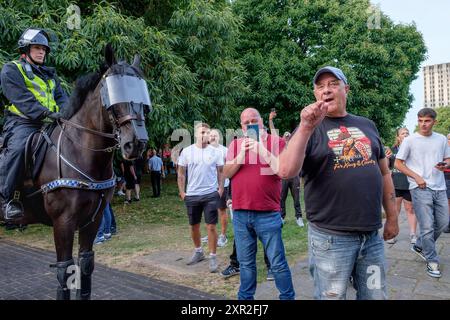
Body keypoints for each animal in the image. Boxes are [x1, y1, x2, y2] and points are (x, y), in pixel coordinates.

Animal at [0, 45, 151, 300]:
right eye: (111, 93)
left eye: (142, 94)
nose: (136, 144)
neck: (80, 152)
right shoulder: (64, 221)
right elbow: (64, 270)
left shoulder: (93, 220)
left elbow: (86, 265)